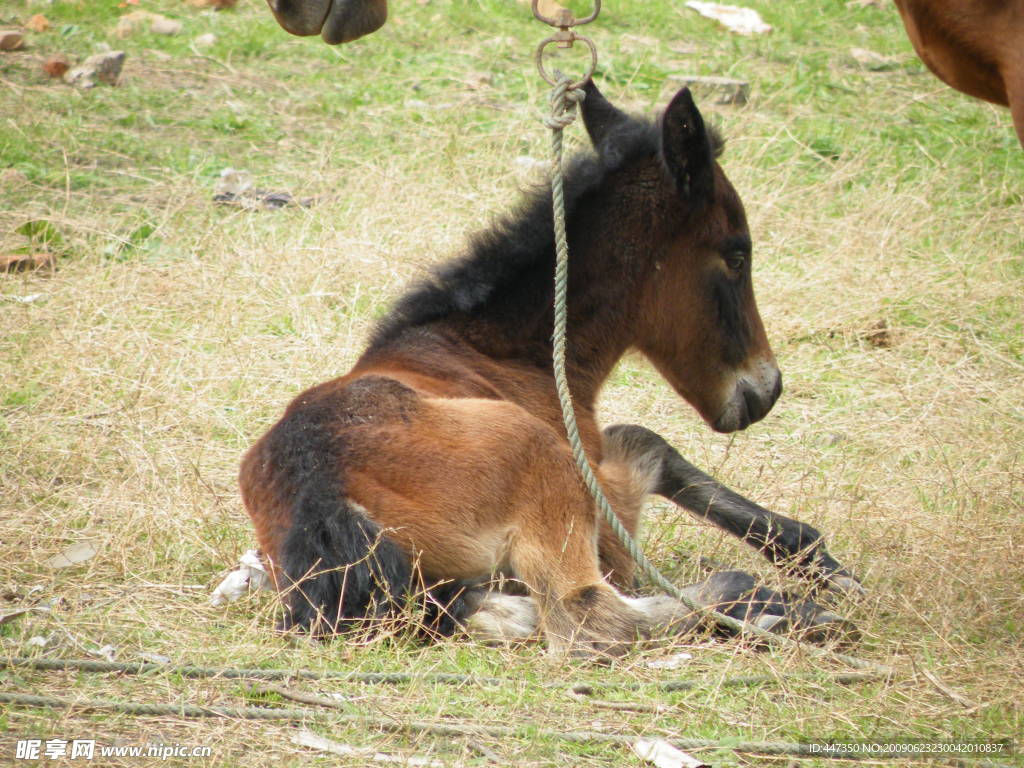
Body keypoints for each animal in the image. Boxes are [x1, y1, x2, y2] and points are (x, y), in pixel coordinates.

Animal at [241, 82, 856, 655]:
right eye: (737, 254)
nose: (766, 389)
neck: (503, 352)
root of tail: (321, 492)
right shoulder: (605, 510)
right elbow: (647, 444)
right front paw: (815, 567)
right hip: (542, 464)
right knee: (586, 618)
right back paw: (769, 605)